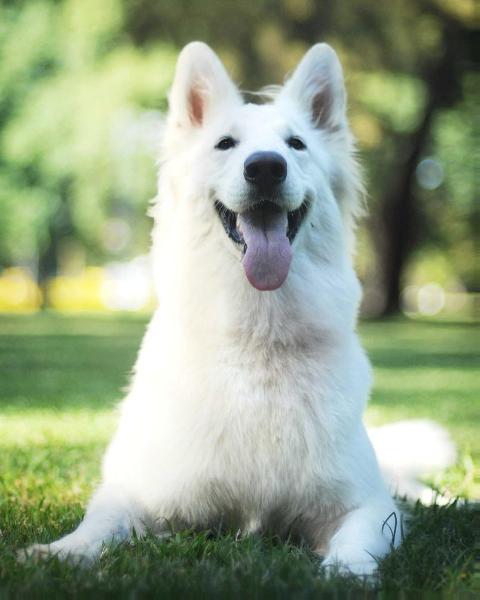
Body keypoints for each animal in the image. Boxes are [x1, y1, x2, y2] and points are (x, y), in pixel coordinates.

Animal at [24, 42, 456, 576]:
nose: (266, 166)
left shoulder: (368, 507)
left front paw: (343, 574)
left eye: (296, 144)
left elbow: (359, 537)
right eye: (225, 144)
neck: (259, 338)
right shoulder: (138, 493)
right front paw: (60, 551)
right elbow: (101, 522)